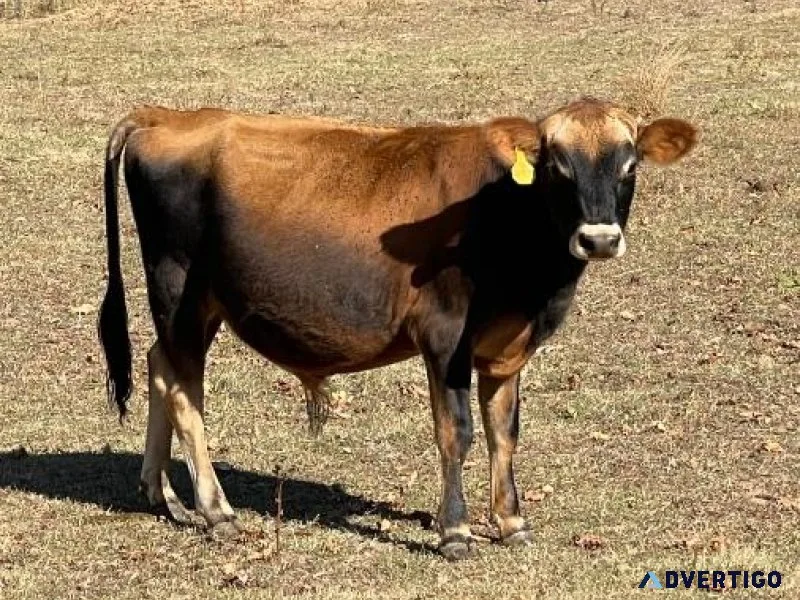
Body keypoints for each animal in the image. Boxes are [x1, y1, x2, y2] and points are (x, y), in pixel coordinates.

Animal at [99, 98, 697, 560]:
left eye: (629, 165)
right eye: (559, 167)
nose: (599, 239)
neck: (504, 212)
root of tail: (167, 116)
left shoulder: (507, 346)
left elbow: (505, 431)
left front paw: (511, 522)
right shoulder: (445, 337)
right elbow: (457, 432)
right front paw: (455, 532)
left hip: (200, 307)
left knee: (158, 367)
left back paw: (161, 492)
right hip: (177, 289)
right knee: (183, 390)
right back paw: (215, 509)